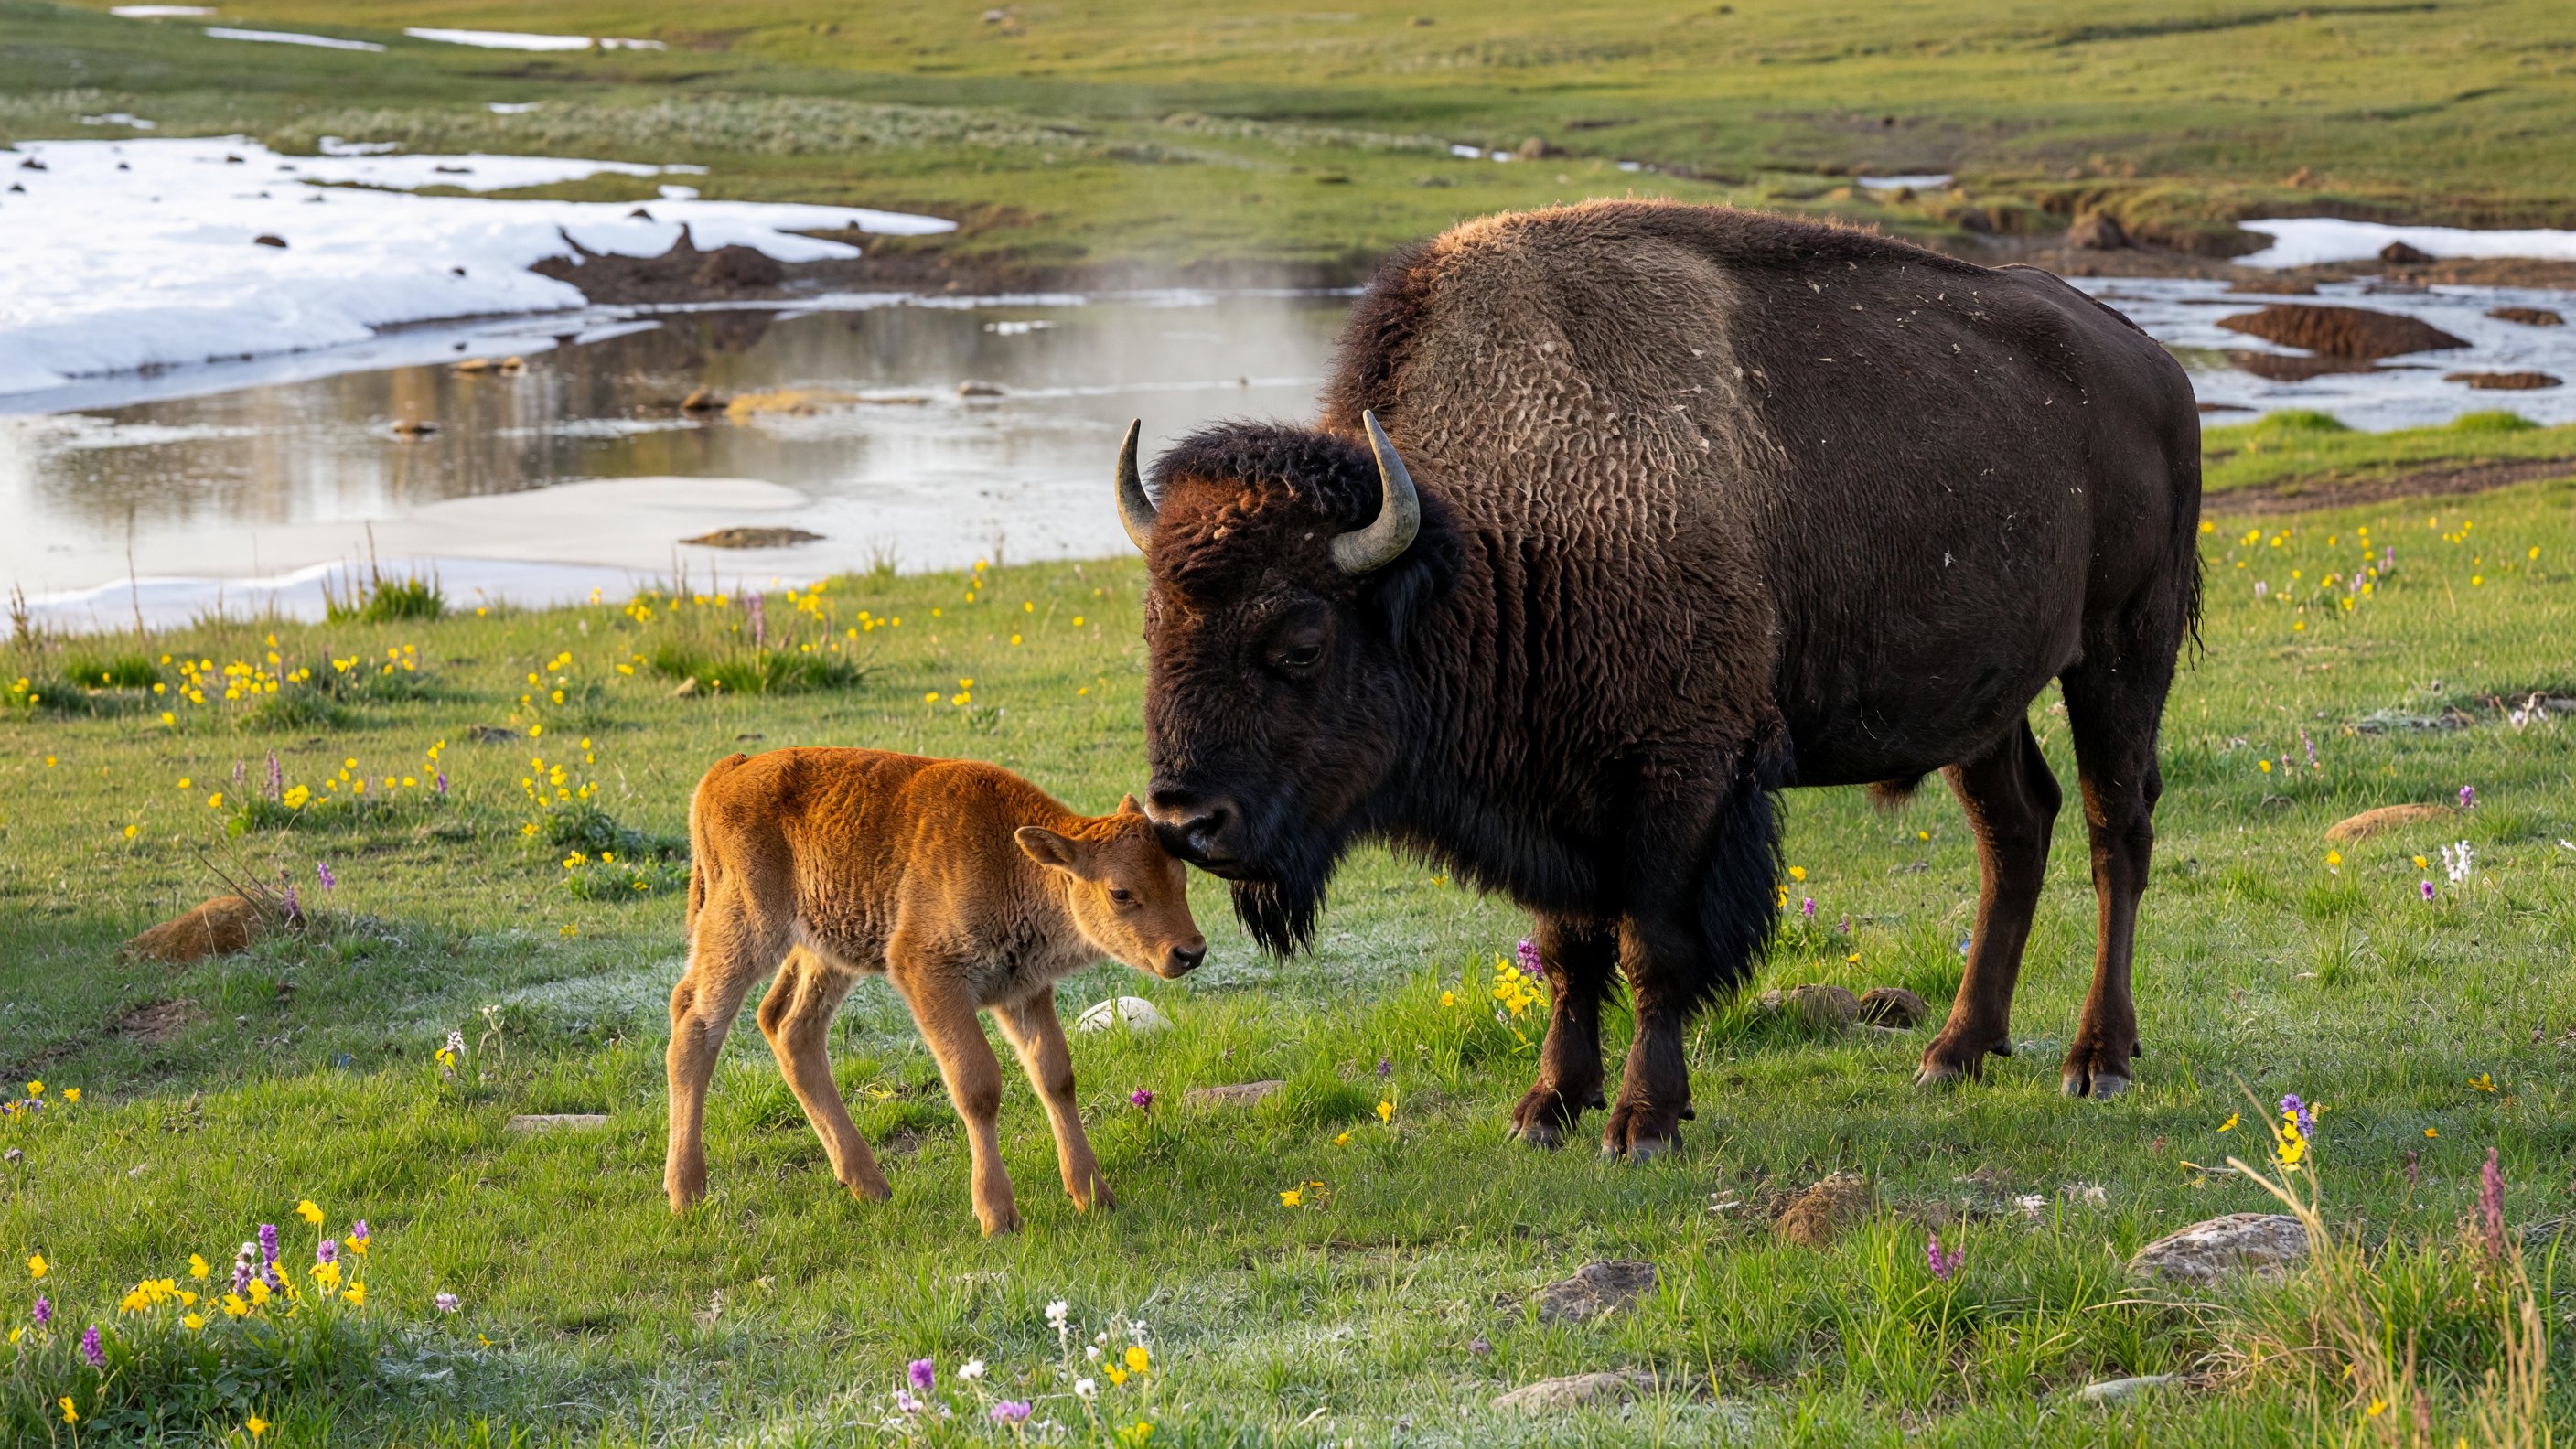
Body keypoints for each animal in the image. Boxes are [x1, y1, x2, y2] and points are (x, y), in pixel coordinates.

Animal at [664, 749, 1206, 1233]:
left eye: (1181, 876)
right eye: (1121, 893)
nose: (1190, 951)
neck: (1013, 861)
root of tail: (727, 771)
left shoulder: (1023, 991)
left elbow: (1055, 1075)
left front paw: (1093, 1195)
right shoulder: (927, 974)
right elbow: (977, 1085)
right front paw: (998, 1215)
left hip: (825, 949)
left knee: (788, 1025)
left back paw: (868, 1183)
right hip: (745, 927)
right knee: (695, 1022)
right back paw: (687, 1193)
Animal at [1113, 200, 2199, 1159]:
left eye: (1300, 642)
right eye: (1152, 627)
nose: (1183, 821)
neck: (1485, 543)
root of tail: (2153, 364)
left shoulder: (1683, 778)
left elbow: (1653, 951)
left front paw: (1642, 1121)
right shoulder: (1557, 792)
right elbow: (1567, 952)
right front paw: (1547, 1107)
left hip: (2120, 651)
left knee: (2115, 831)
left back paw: (2097, 1061)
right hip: (1984, 703)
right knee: (2014, 831)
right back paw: (1954, 1053)